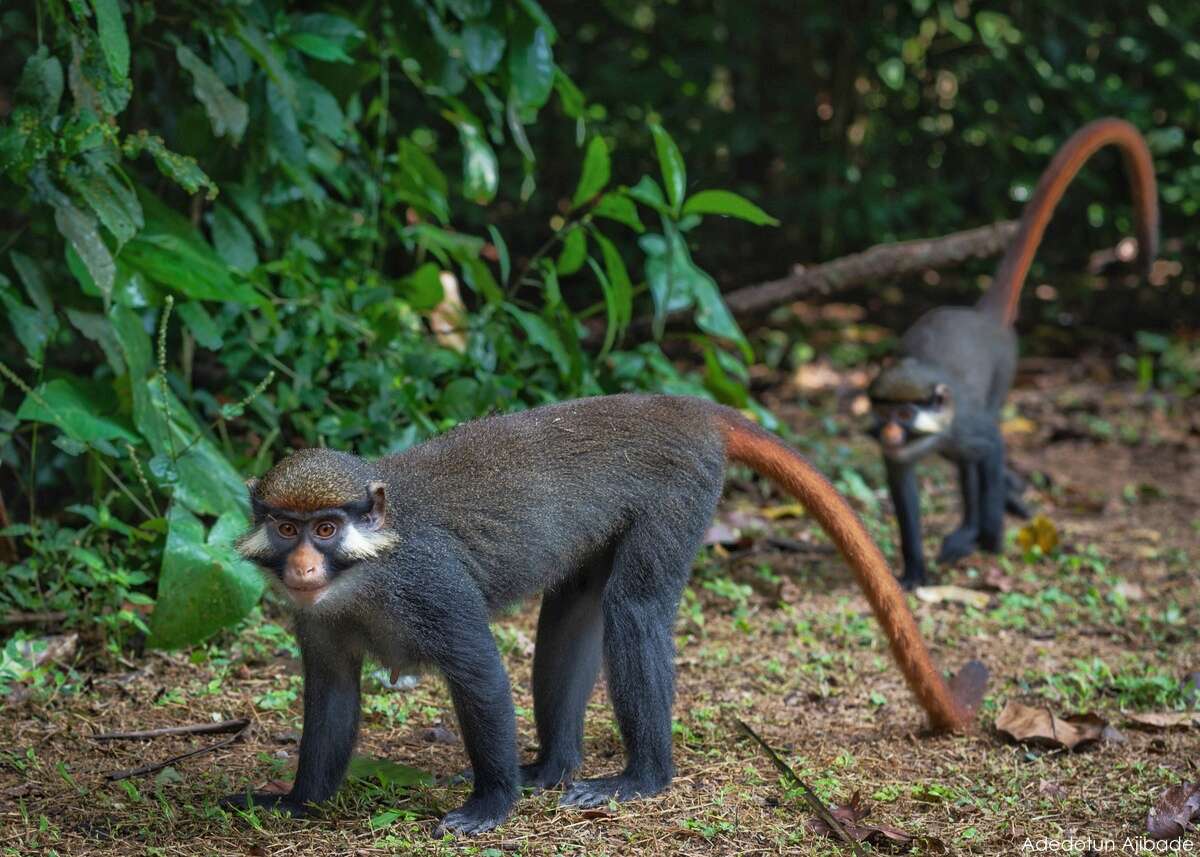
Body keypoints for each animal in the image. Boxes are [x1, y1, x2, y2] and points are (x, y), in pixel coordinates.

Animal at [223, 393, 984, 835]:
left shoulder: (430, 585)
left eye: (327, 529)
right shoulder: (316, 622)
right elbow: (331, 692)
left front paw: (490, 804)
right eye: (287, 528)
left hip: (682, 490)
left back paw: (642, 776)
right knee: (572, 610)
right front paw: (295, 802)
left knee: (634, 608)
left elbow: (478, 669)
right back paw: (554, 766)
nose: (303, 567)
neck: (364, 570)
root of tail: (684, 407)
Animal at [868, 118, 1156, 588]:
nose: (891, 433)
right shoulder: (901, 456)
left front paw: (988, 539)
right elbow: (902, 484)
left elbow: (991, 448)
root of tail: (983, 316)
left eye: (905, 415)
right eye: (884, 414)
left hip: (1004, 371)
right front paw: (913, 570)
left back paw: (976, 527)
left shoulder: (967, 426)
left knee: (974, 464)